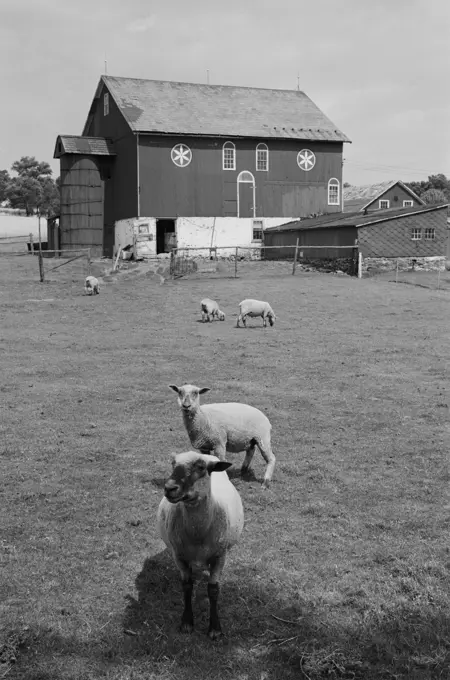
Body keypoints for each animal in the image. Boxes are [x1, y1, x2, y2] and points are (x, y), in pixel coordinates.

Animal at [157, 452, 244, 636]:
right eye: (173, 463)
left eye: (201, 467)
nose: (169, 488)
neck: (198, 534)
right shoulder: (179, 557)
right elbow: (187, 586)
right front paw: (187, 621)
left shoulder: (219, 557)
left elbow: (213, 590)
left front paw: (215, 627)